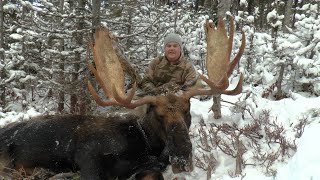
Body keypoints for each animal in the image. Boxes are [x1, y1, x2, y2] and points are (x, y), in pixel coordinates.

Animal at [0, 16, 245, 179]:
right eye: (158, 114)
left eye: (187, 110)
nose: (183, 158)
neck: (145, 146)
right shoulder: (87, 155)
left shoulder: (148, 168)